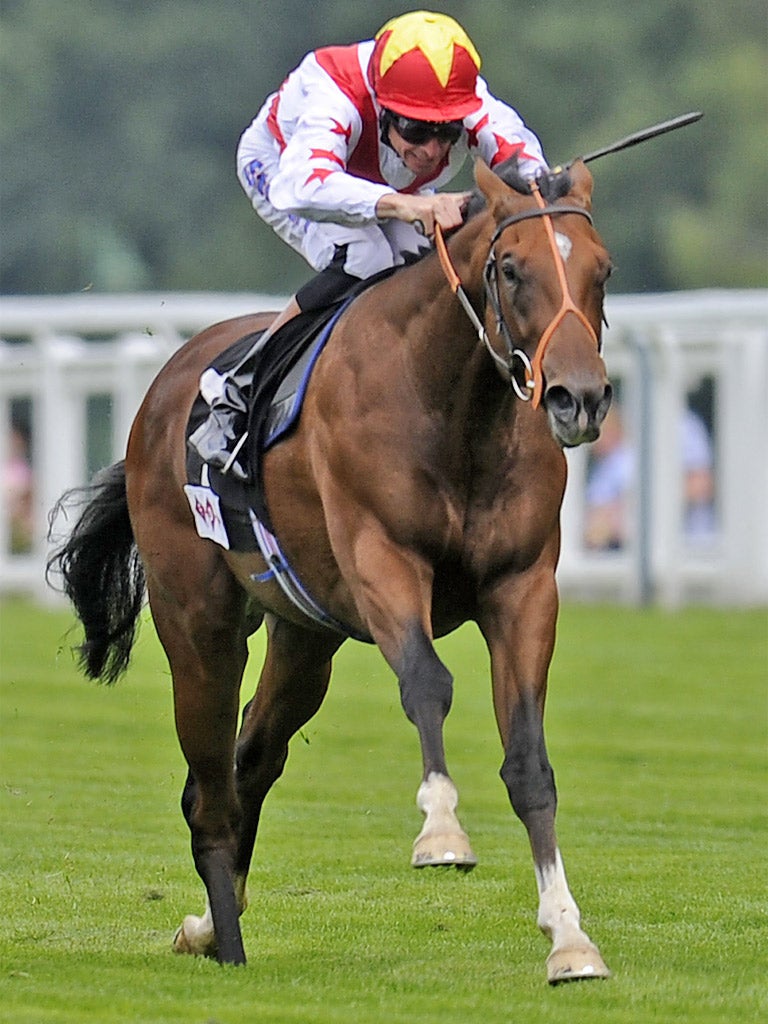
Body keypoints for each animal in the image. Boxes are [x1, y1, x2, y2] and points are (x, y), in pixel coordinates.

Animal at [48, 155, 614, 978]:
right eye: (510, 268)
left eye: (603, 270)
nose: (580, 398)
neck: (454, 406)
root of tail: (161, 392)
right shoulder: (382, 559)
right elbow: (427, 683)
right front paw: (441, 832)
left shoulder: (522, 588)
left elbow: (529, 762)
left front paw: (569, 938)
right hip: (198, 624)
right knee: (210, 789)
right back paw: (227, 945)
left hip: (305, 634)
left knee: (251, 758)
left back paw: (209, 928)